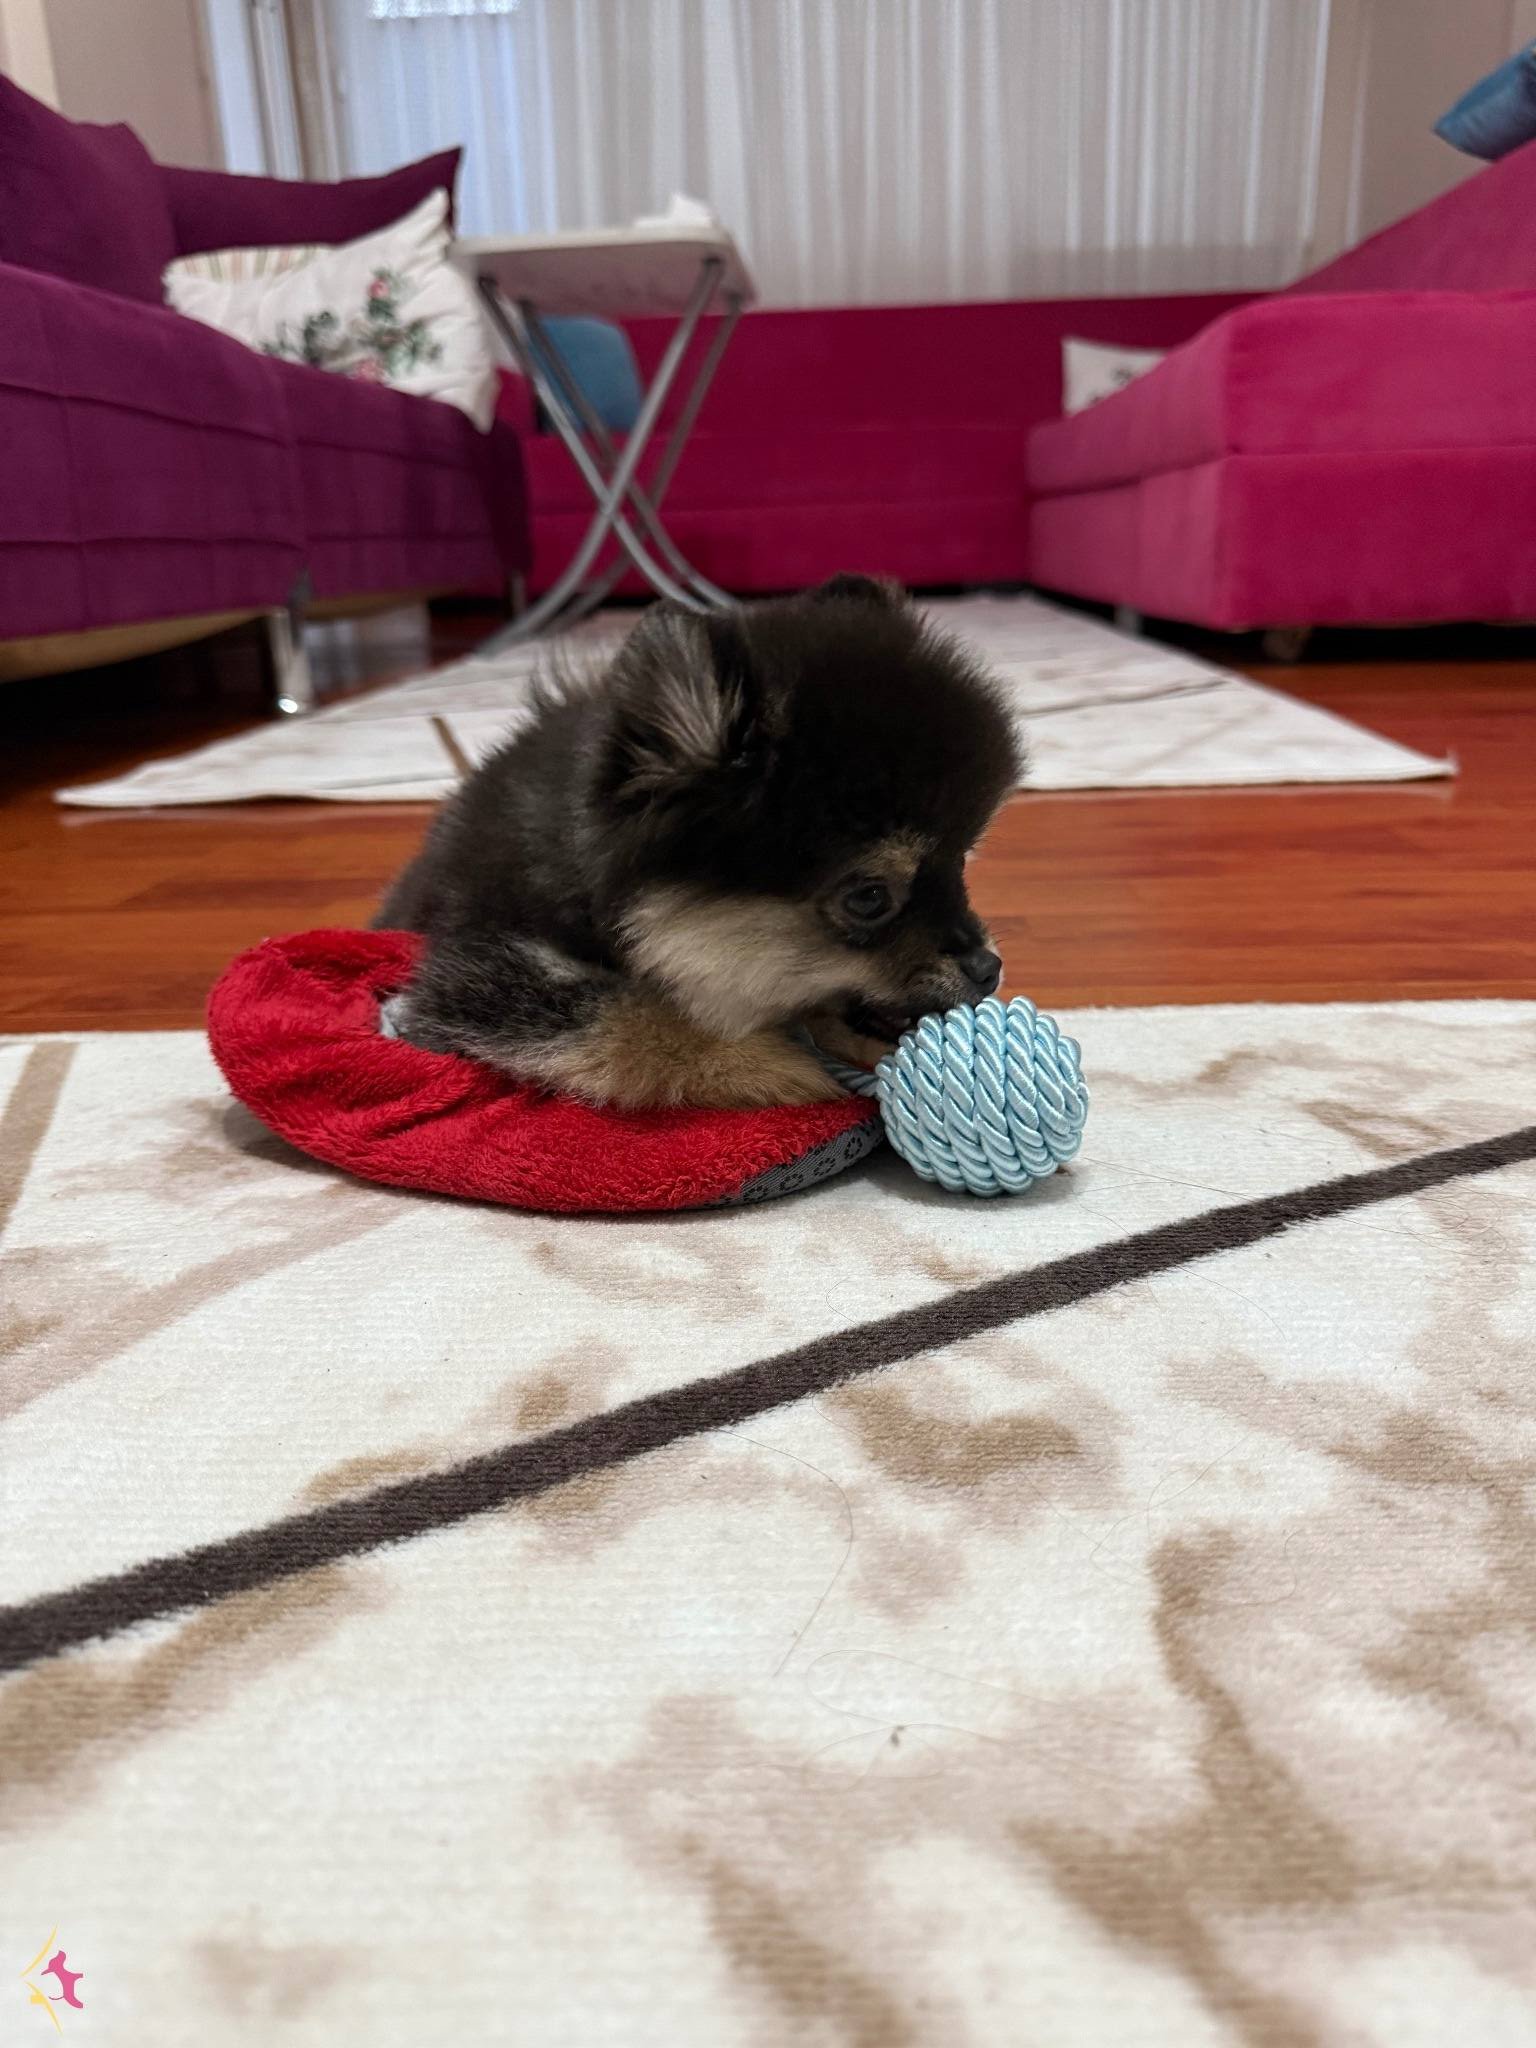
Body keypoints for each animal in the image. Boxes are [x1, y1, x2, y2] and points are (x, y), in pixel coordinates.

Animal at [377, 575, 1021, 1108]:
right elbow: (633, 1023)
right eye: (869, 898)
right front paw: (791, 1067)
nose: (989, 967)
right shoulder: (480, 973)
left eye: (961, 861)